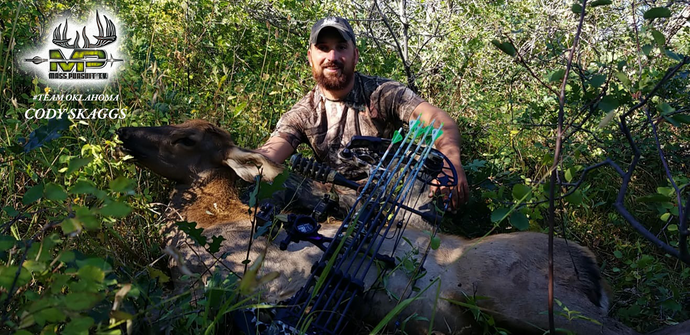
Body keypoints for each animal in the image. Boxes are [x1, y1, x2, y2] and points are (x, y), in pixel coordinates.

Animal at [115, 119, 684, 334]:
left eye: (186, 139)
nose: (126, 132)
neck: (214, 230)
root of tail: (590, 265)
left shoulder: (263, 281)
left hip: (528, 298)